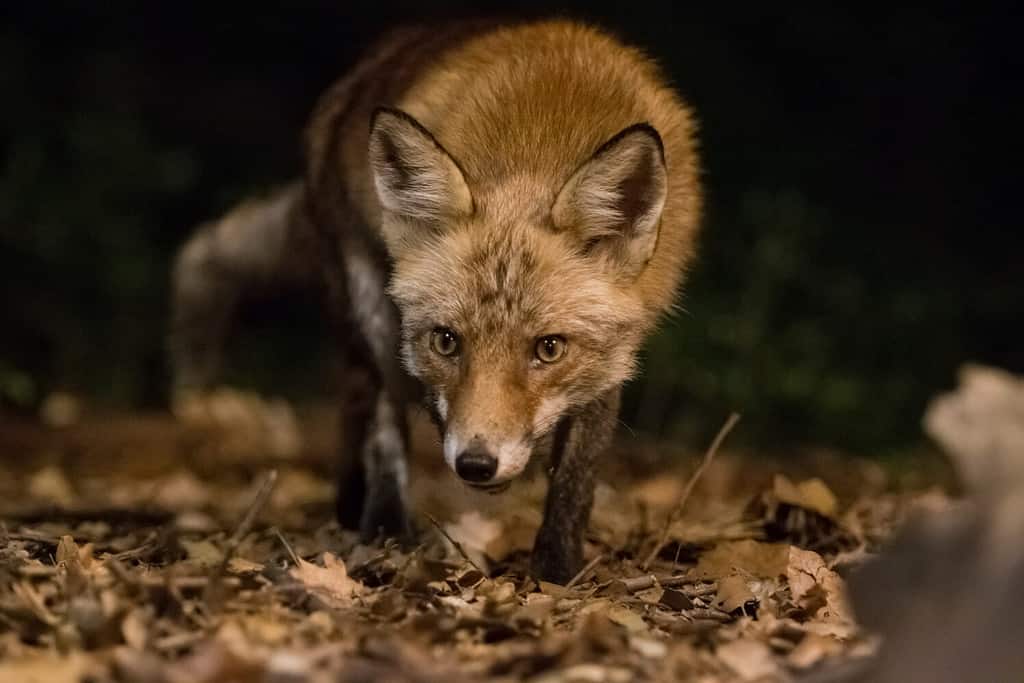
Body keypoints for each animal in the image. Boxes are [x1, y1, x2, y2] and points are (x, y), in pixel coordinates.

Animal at [176, 17, 704, 581]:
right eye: (446, 341)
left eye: (549, 349)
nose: (476, 463)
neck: (540, 141)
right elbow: (392, 425)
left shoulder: (612, 355)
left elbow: (576, 475)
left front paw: (556, 570)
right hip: (369, 300)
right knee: (375, 410)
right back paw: (380, 526)